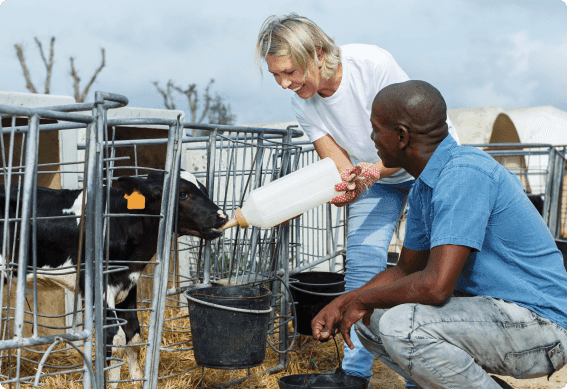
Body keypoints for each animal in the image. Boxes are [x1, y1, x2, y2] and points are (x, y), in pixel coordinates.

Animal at [0, 171, 226, 384]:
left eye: (204, 189)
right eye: (183, 194)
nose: (222, 216)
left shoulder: (128, 283)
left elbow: (133, 335)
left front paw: (136, 380)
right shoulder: (98, 287)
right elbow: (115, 338)